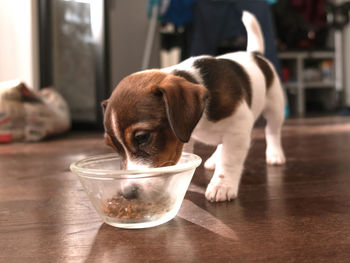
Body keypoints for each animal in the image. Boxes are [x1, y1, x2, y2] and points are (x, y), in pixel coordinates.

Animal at [101, 11, 284, 203]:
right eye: (112, 146)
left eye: (143, 137)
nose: (128, 194)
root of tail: (255, 54)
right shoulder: (183, 142)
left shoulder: (238, 130)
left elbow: (229, 160)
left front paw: (222, 185)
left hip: (275, 107)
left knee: (272, 130)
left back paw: (275, 154)